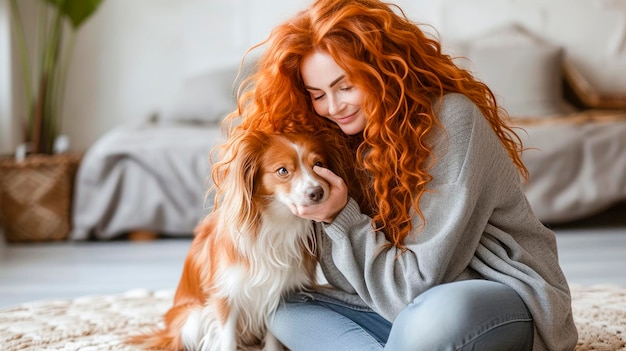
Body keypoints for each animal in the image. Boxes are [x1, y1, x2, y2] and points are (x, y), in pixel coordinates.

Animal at [128, 131, 346, 351]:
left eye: (318, 164)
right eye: (283, 170)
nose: (317, 192)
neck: (276, 224)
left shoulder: (277, 293)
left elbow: (273, 339)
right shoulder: (226, 295)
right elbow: (227, 340)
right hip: (193, 319)